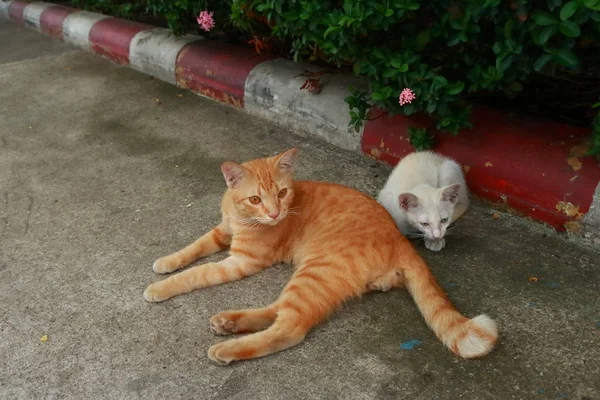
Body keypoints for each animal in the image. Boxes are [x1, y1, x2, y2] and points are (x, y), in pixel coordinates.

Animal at [144, 148, 496, 364]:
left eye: (282, 193)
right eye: (256, 199)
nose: (274, 214)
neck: (241, 215)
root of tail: (398, 234)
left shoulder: (242, 261)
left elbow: (196, 274)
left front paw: (160, 287)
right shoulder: (221, 232)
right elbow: (192, 248)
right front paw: (166, 261)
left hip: (314, 273)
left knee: (289, 328)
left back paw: (229, 345)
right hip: (311, 277)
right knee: (279, 310)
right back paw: (230, 321)